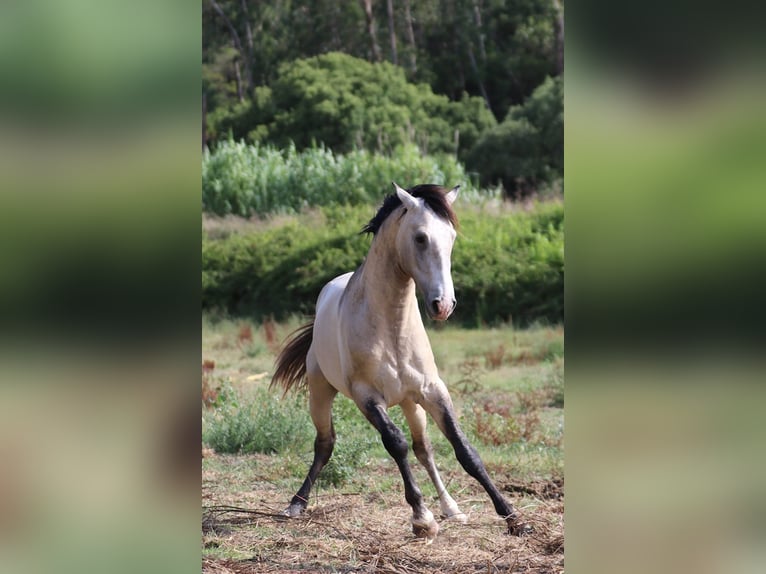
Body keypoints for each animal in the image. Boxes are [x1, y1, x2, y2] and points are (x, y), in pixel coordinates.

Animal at [272, 182, 532, 544]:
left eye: (451, 236)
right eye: (420, 237)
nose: (443, 305)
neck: (392, 329)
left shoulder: (434, 391)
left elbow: (464, 450)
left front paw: (513, 518)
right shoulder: (367, 398)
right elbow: (396, 443)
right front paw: (422, 519)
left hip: (411, 403)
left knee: (424, 448)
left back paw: (452, 508)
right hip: (320, 393)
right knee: (325, 445)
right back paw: (296, 504)